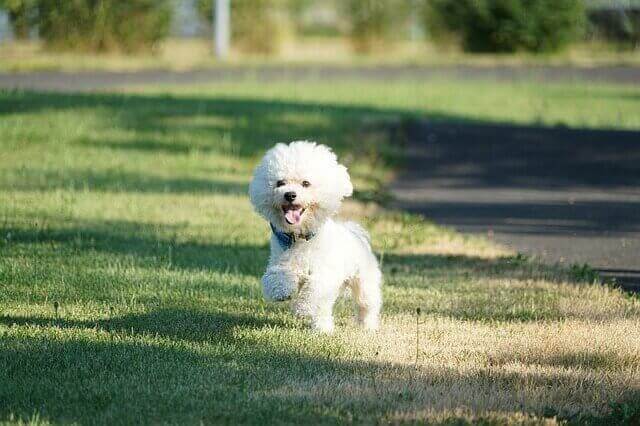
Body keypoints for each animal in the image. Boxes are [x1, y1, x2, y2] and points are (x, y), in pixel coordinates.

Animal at [249, 141, 380, 332]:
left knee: (367, 304)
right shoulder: (280, 261)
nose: (290, 195)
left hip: (364, 281)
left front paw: (302, 308)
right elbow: (276, 277)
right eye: (280, 182)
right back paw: (322, 329)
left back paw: (367, 326)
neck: (300, 237)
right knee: (324, 310)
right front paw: (281, 291)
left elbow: (314, 291)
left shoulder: (325, 274)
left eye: (306, 183)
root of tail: (354, 232)